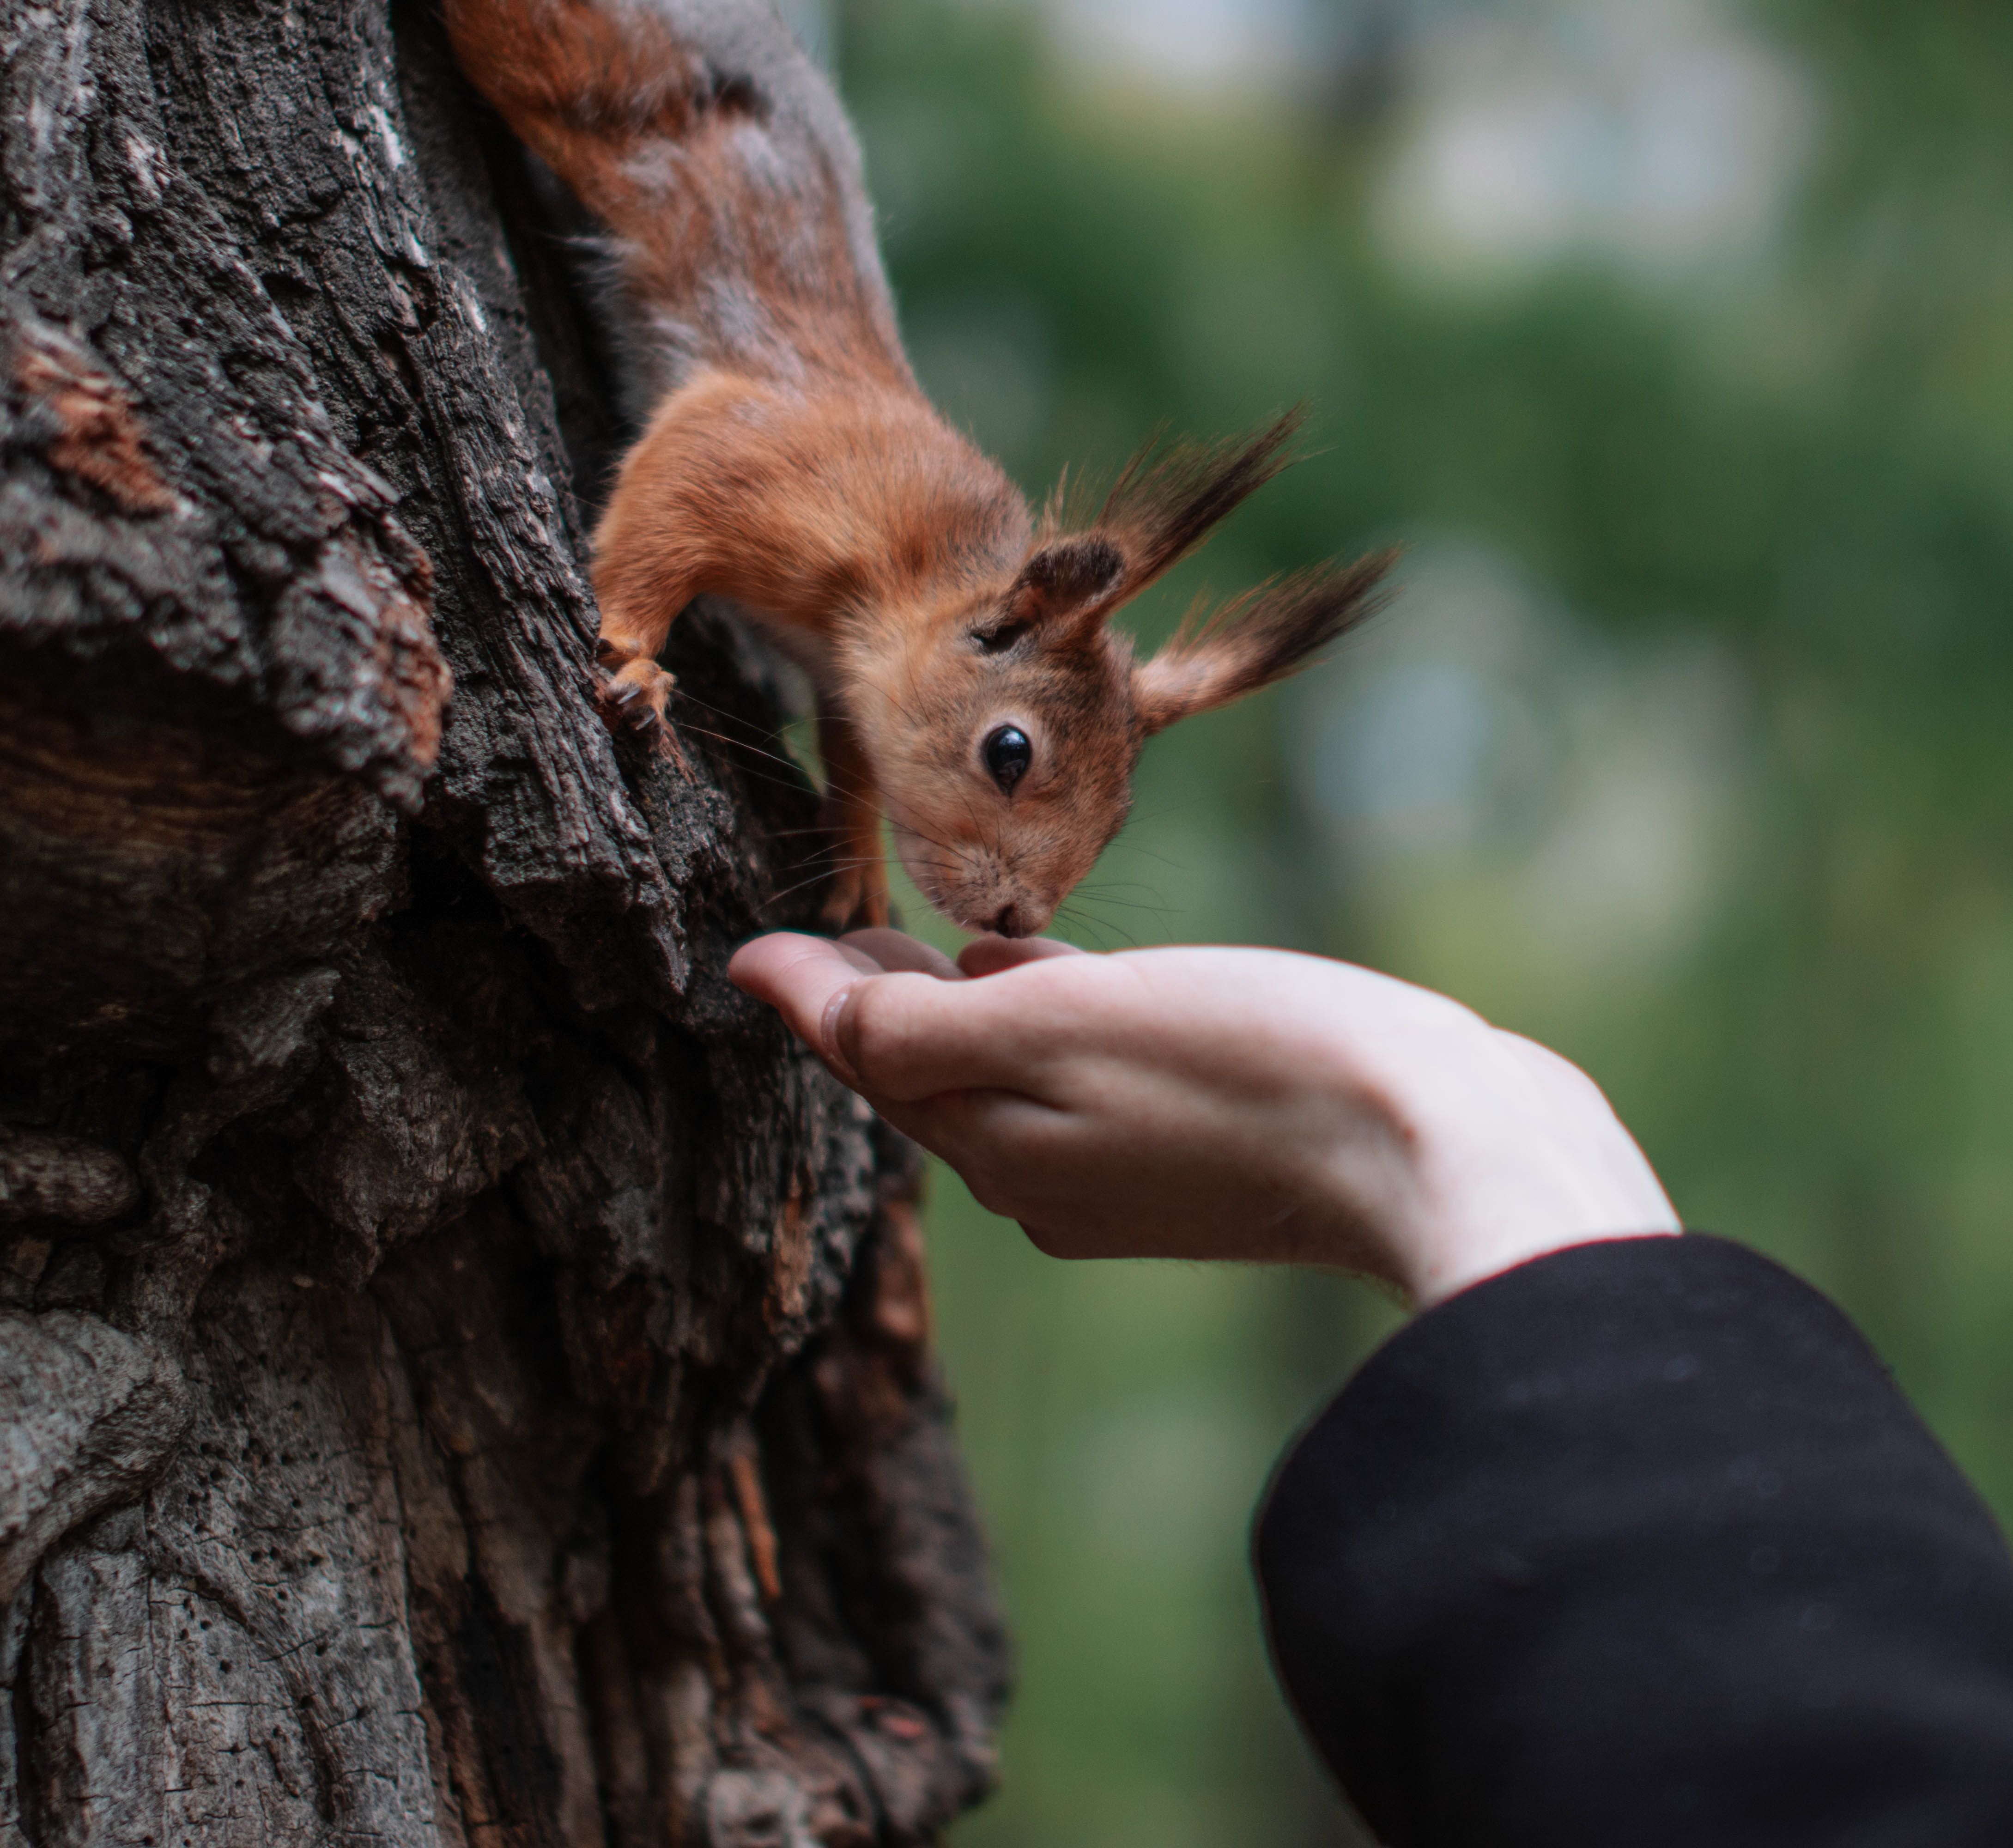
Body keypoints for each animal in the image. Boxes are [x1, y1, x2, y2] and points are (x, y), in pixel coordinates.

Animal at [441, 0, 1393, 937]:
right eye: (1008, 752)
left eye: (1122, 810)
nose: (1015, 922)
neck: (915, 572)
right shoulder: (762, 459)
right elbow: (664, 524)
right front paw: (634, 656)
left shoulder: (844, 672)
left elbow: (853, 748)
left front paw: (857, 860)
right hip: (570, 63)